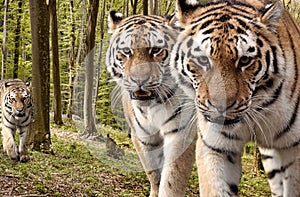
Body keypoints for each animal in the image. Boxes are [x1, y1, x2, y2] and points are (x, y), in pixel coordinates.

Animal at [105, 11, 197, 197]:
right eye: (126, 51)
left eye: (156, 50)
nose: (140, 80)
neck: (153, 108)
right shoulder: (143, 137)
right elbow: (154, 174)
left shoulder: (181, 134)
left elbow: (172, 180)